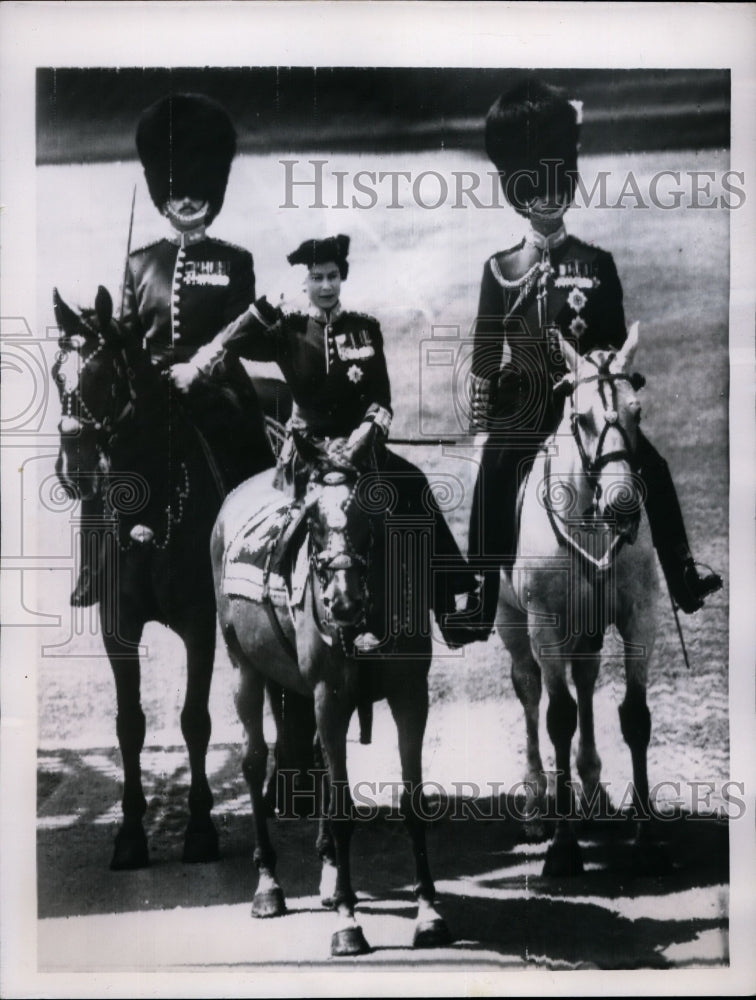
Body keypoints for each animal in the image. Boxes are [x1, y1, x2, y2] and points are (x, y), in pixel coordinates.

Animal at [51, 286, 274, 872]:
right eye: (59, 373)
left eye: (105, 374)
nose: (75, 467)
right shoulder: (118, 626)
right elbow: (129, 725)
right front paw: (130, 833)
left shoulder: (199, 623)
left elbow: (195, 720)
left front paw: (199, 828)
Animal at [210, 444, 452, 952]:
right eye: (312, 521)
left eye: (370, 513)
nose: (342, 601)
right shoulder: (330, 697)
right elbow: (342, 812)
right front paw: (347, 920)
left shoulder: (410, 697)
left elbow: (413, 802)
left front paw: (428, 911)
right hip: (245, 669)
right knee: (254, 761)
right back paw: (268, 886)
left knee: (320, 761)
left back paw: (328, 873)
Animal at [502, 326, 668, 876]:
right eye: (581, 418)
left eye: (637, 412)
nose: (622, 506)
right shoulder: (545, 624)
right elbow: (558, 718)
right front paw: (563, 848)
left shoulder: (639, 618)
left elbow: (635, 716)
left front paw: (646, 837)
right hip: (515, 627)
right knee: (530, 691)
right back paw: (537, 804)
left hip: (589, 630)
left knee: (588, 682)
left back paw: (592, 792)